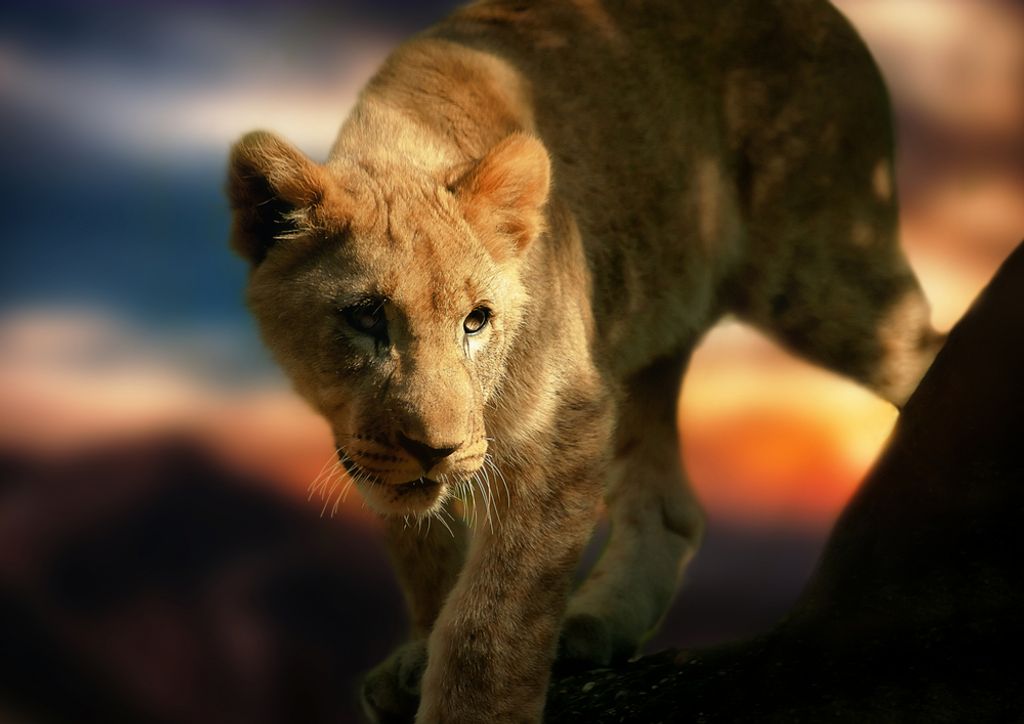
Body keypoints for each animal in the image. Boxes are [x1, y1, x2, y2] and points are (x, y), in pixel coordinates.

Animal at [226, 1, 944, 721]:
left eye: (476, 321)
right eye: (367, 316)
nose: (436, 449)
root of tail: (828, 15)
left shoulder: (563, 418)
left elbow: (496, 614)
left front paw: (469, 704)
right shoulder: (370, 446)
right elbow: (424, 553)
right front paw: (416, 656)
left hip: (821, 277)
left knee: (924, 355)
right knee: (668, 504)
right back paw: (593, 626)